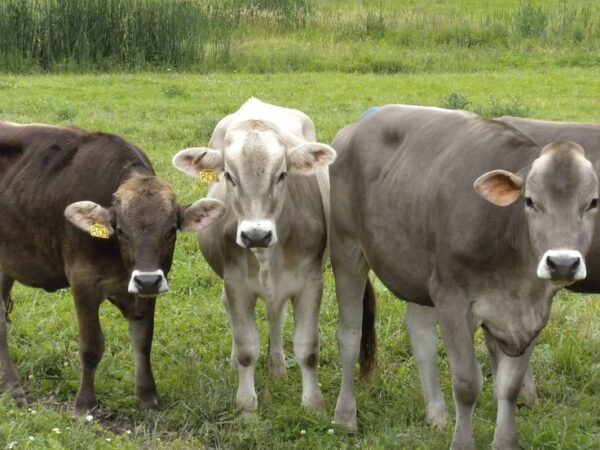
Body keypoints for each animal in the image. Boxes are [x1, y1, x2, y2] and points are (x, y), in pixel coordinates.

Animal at [0, 121, 225, 414]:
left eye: (171, 230)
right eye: (121, 231)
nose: (147, 280)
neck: (120, 265)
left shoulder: (146, 287)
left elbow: (143, 341)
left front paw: (148, 397)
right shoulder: (82, 281)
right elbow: (91, 346)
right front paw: (84, 404)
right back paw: (13, 387)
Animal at [171, 97, 336, 412]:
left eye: (282, 174)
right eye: (228, 176)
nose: (256, 234)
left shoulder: (310, 282)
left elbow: (308, 347)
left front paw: (313, 405)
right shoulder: (236, 284)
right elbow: (247, 347)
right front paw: (247, 405)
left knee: (276, 318)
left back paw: (278, 369)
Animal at [330, 106, 596, 450]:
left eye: (592, 203)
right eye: (530, 201)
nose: (562, 262)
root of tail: (361, 122)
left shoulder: (533, 313)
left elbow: (509, 386)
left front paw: (504, 442)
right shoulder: (452, 300)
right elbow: (468, 383)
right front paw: (462, 442)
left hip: (417, 270)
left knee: (420, 335)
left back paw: (437, 417)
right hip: (347, 248)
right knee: (349, 335)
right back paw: (345, 417)